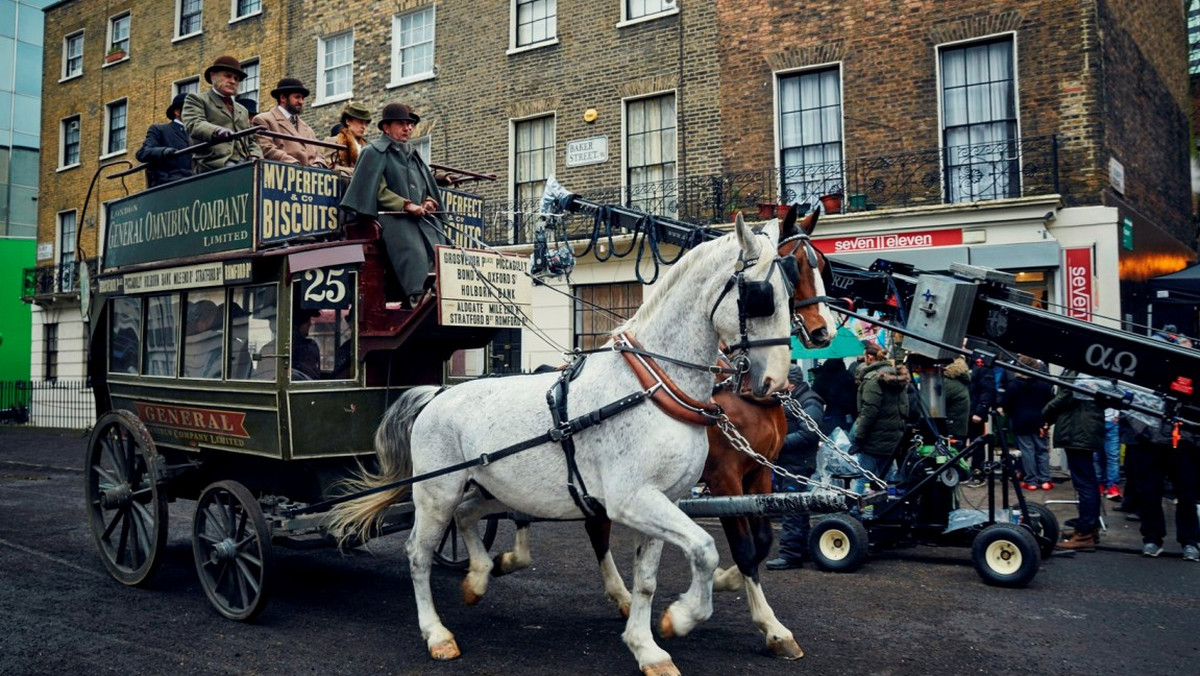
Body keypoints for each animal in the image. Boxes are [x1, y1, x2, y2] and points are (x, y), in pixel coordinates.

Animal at [331, 216, 796, 676]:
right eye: (761, 297)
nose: (775, 382)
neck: (651, 387)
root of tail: (437, 394)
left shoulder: (666, 499)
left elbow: (648, 580)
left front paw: (647, 647)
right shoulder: (634, 499)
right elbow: (704, 549)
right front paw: (681, 618)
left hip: (495, 487)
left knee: (466, 516)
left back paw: (479, 576)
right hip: (435, 492)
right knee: (419, 553)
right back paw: (437, 633)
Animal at [482, 206, 830, 662]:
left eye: (822, 265)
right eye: (794, 269)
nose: (823, 331)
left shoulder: (761, 473)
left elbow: (761, 540)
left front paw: (754, 609)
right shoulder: (725, 477)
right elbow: (745, 548)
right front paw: (739, 607)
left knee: (590, 526)